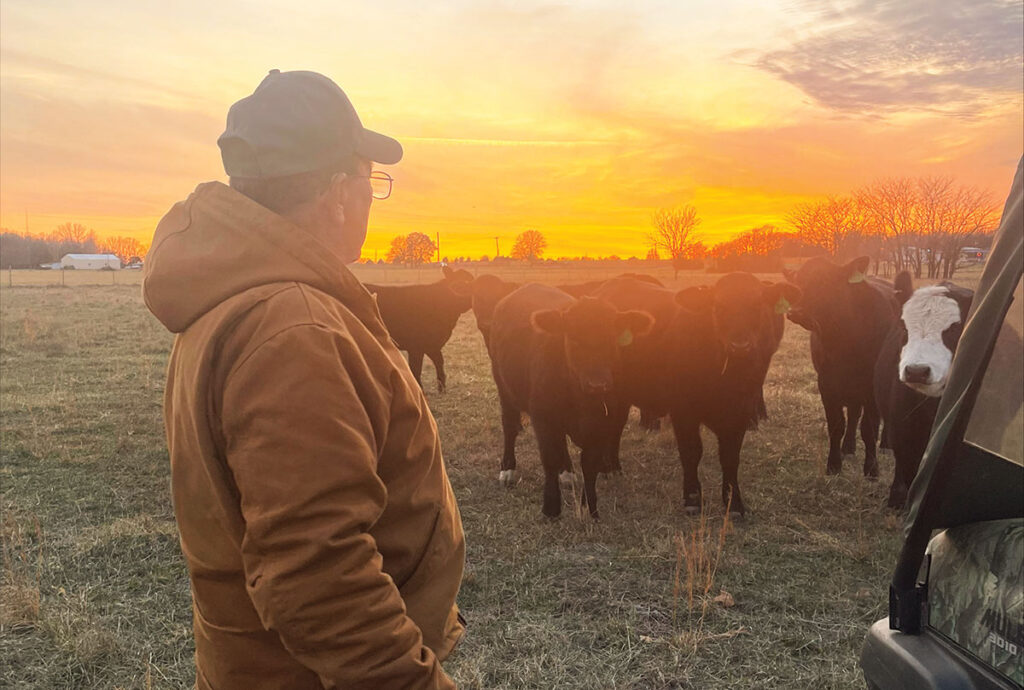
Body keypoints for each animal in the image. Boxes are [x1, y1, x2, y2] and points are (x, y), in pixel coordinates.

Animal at [489, 280, 651, 515]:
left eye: (613, 339)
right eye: (573, 339)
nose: (598, 384)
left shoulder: (603, 422)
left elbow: (589, 464)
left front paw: (590, 507)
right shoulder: (543, 417)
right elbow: (549, 458)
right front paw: (551, 507)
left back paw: (566, 473)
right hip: (504, 387)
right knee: (509, 426)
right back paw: (508, 470)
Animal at [782, 254, 897, 475]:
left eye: (826, 282)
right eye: (798, 283)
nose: (796, 312)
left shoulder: (871, 388)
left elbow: (869, 429)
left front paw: (871, 469)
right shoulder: (827, 384)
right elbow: (836, 425)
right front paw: (834, 464)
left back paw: (886, 445)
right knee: (853, 414)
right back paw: (848, 448)